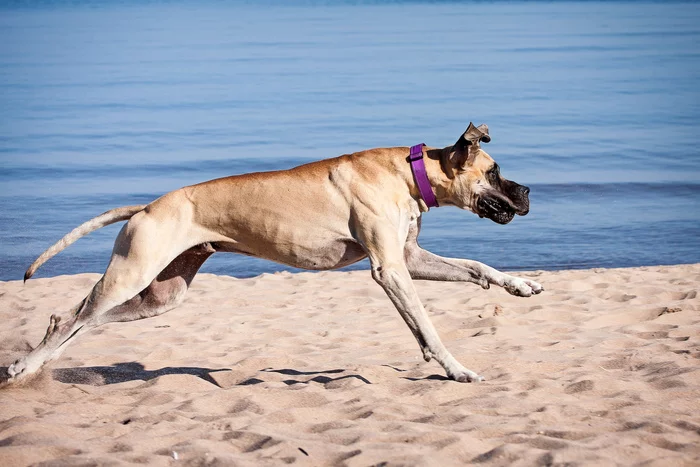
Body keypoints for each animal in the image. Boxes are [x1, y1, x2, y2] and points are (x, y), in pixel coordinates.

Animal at [4, 122, 540, 386]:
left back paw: (42, 362)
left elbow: (477, 268)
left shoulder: (409, 260)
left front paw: (518, 283)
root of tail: (149, 205)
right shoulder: (390, 271)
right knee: (70, 317)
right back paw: (25, 368)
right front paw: (455, 368)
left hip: (160, 296)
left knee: (79, 321)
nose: (529, 191)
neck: (410, 173)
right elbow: (426, 326)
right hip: (130, 275)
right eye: (495, 172)